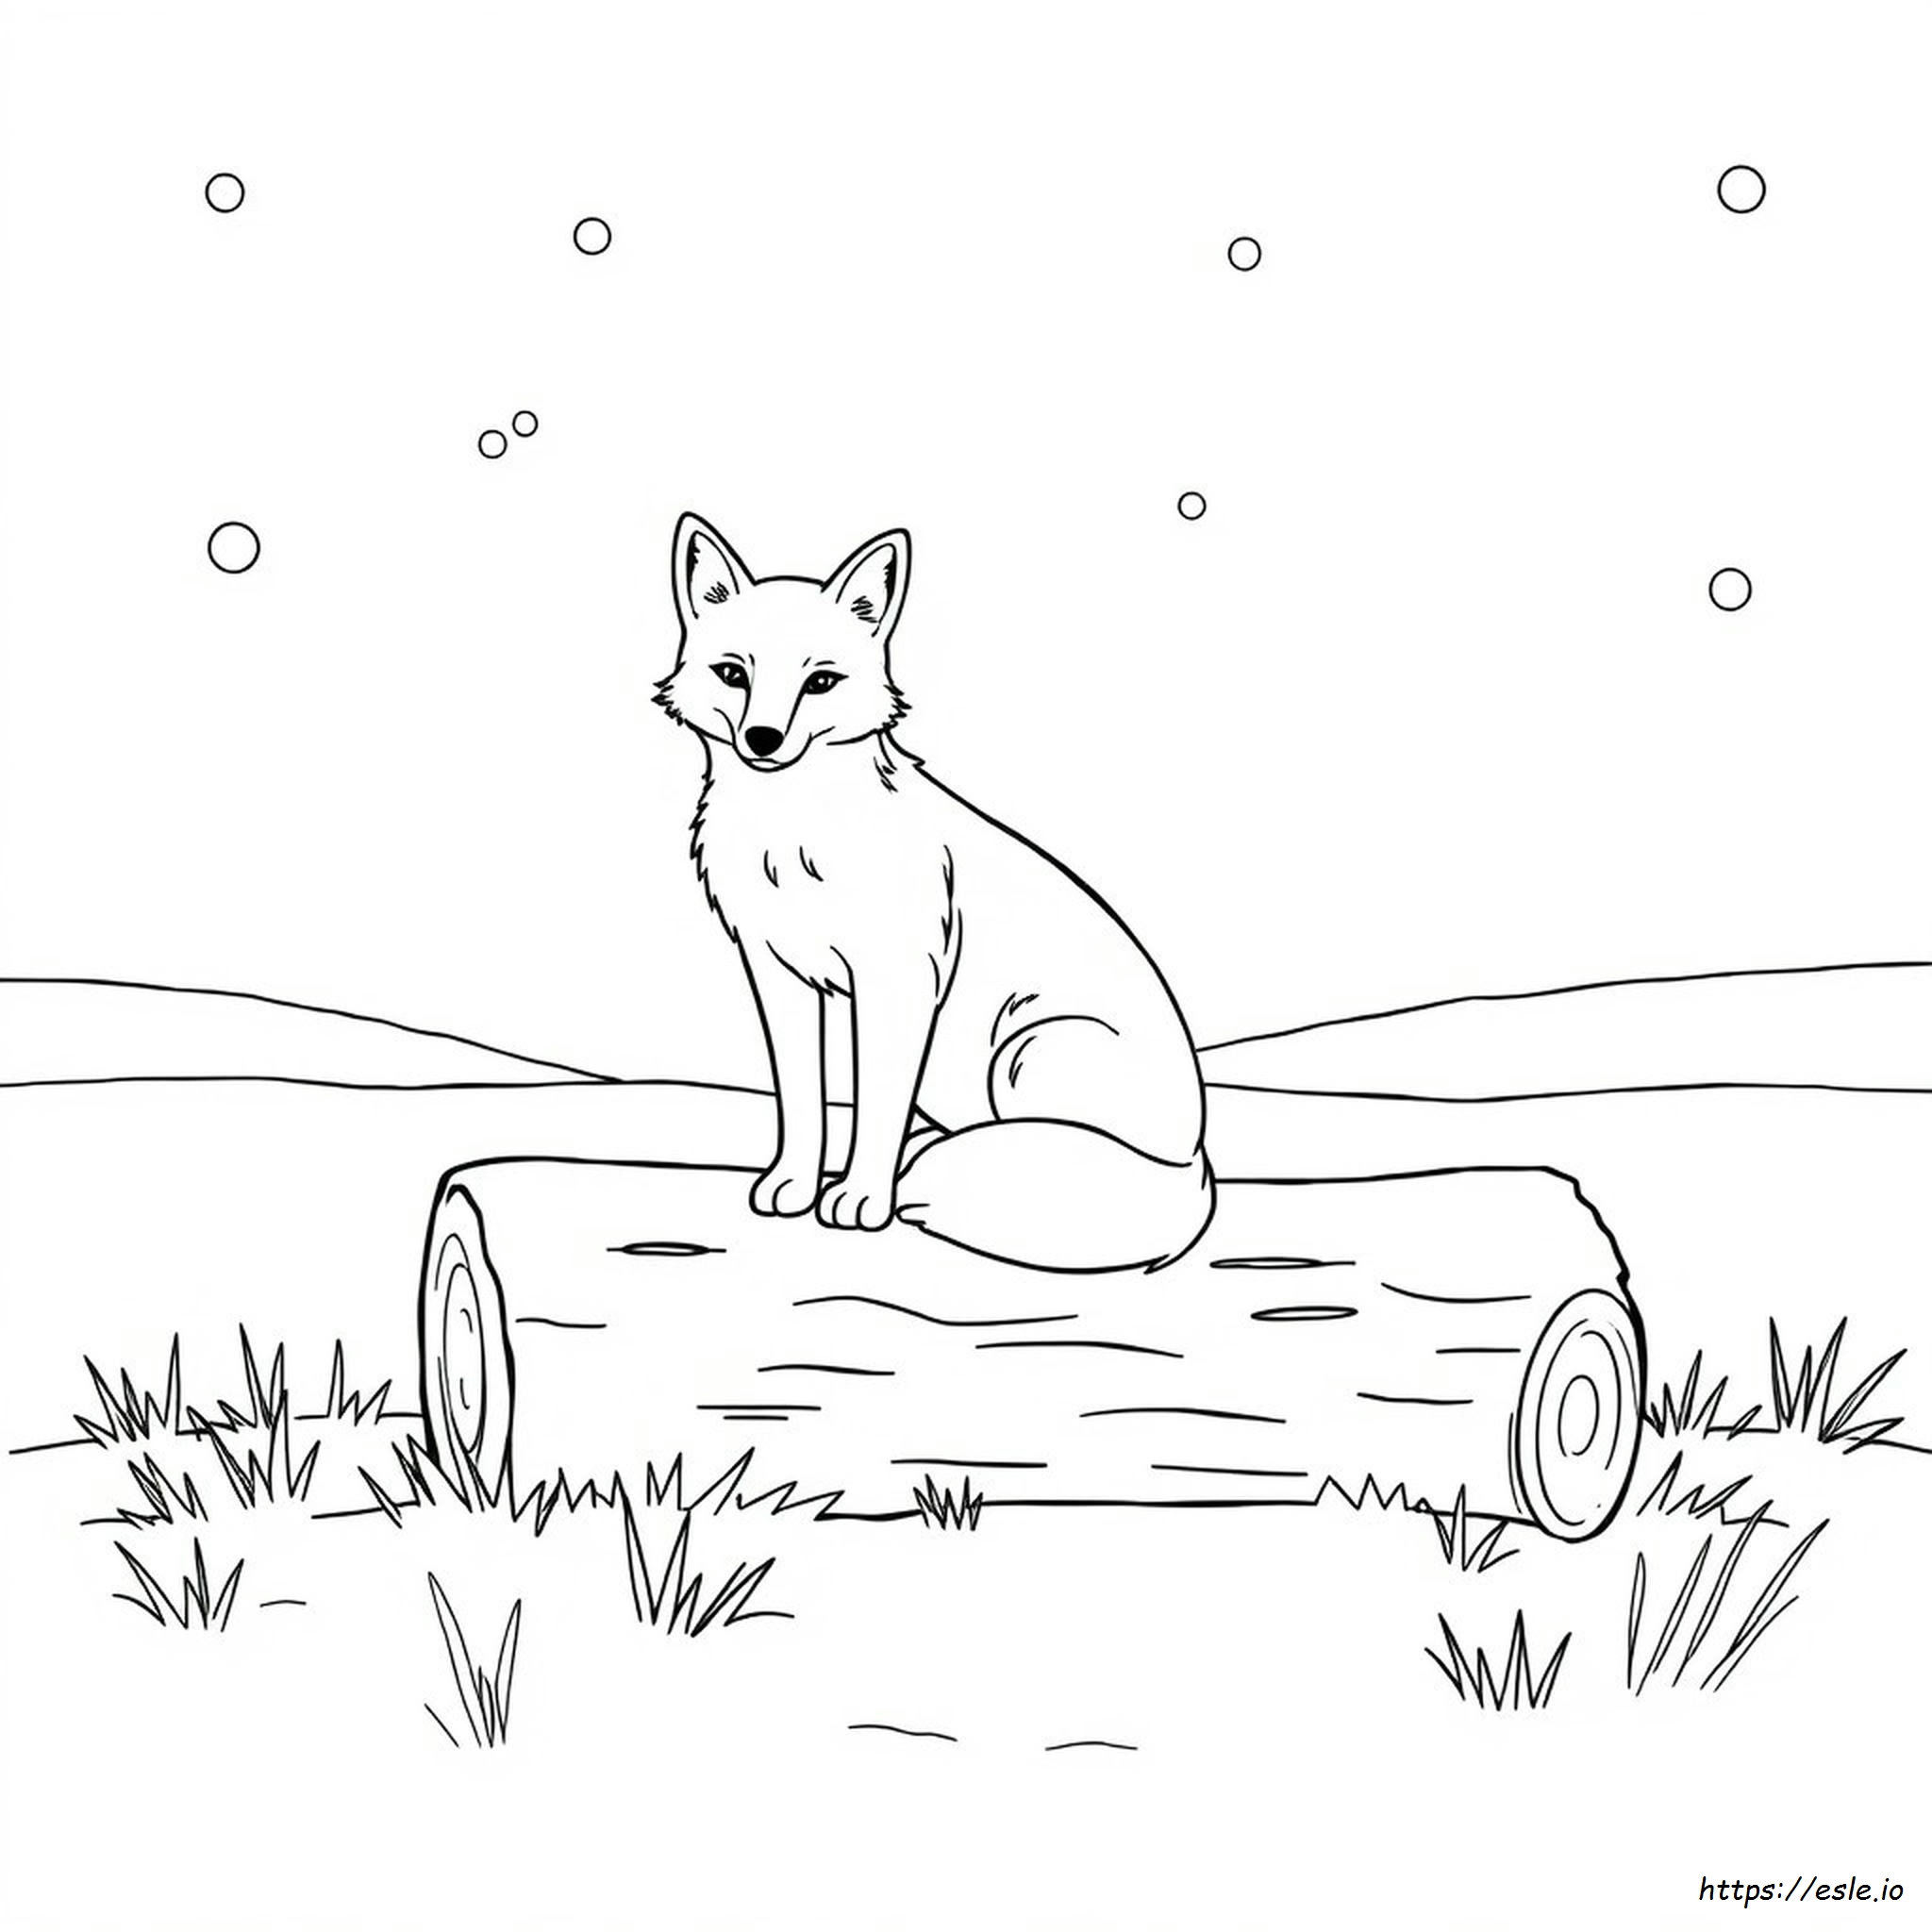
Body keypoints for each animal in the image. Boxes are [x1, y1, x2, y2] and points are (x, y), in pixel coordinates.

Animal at [654, 513, 1214, 1272]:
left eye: (821, 681)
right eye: (733, 674)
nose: (763, 739)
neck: (797, 838)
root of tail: (1195, 1160)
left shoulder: (897, 983)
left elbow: (876, 1104)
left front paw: (863, 1200)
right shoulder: (779, 974)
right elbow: (801, 1099)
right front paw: (793, 1185)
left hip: (1026, 1052)